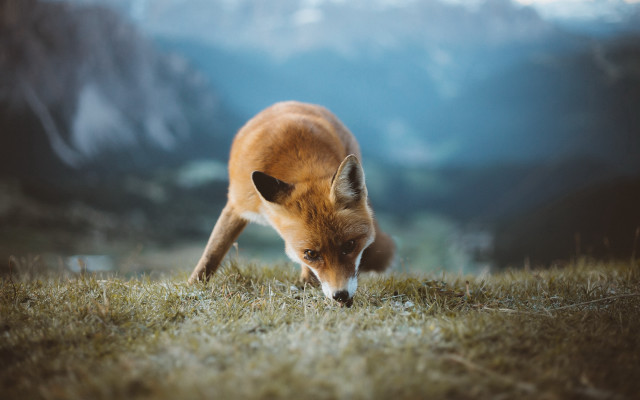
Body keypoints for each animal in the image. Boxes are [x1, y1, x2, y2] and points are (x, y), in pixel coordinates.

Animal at [188, 101, 395, 306]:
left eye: (350, 245)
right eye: (311, 254)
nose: (341, 295)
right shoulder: (236, 205)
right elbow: (213, 251)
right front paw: (194, 283)